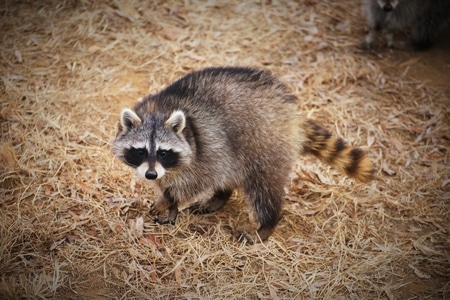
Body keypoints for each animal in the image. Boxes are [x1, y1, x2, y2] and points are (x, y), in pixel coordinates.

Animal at [111, 67, 372, 243]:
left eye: (164, 152)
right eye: (141, 151)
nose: (151, 175)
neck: (159, 110)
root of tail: (291, 114)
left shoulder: (203, 149)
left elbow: (194, 181)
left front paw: (168, 199)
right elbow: (172, 182)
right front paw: (171, 205)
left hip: (265, 145)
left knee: (263, 189)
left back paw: (266, 224)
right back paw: (219, 197)